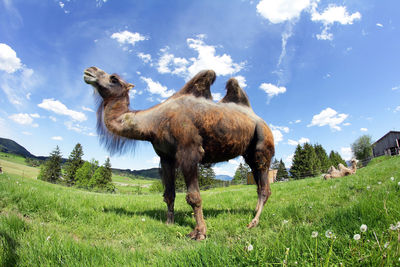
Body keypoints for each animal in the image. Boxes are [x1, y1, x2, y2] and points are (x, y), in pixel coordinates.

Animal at [83, 66, 274, 241]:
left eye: (114, 78)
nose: (90, 70)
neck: (154, 122)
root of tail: (260, 119)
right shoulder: (166, 157)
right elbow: (169, 194)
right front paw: (169, 223)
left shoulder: (189, 151)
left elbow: (194, 196)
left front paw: (200, 232)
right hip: (249, 154)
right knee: (258, 185)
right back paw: (254, 212)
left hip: (262, 144)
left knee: (265, 188)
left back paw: (253, 222)